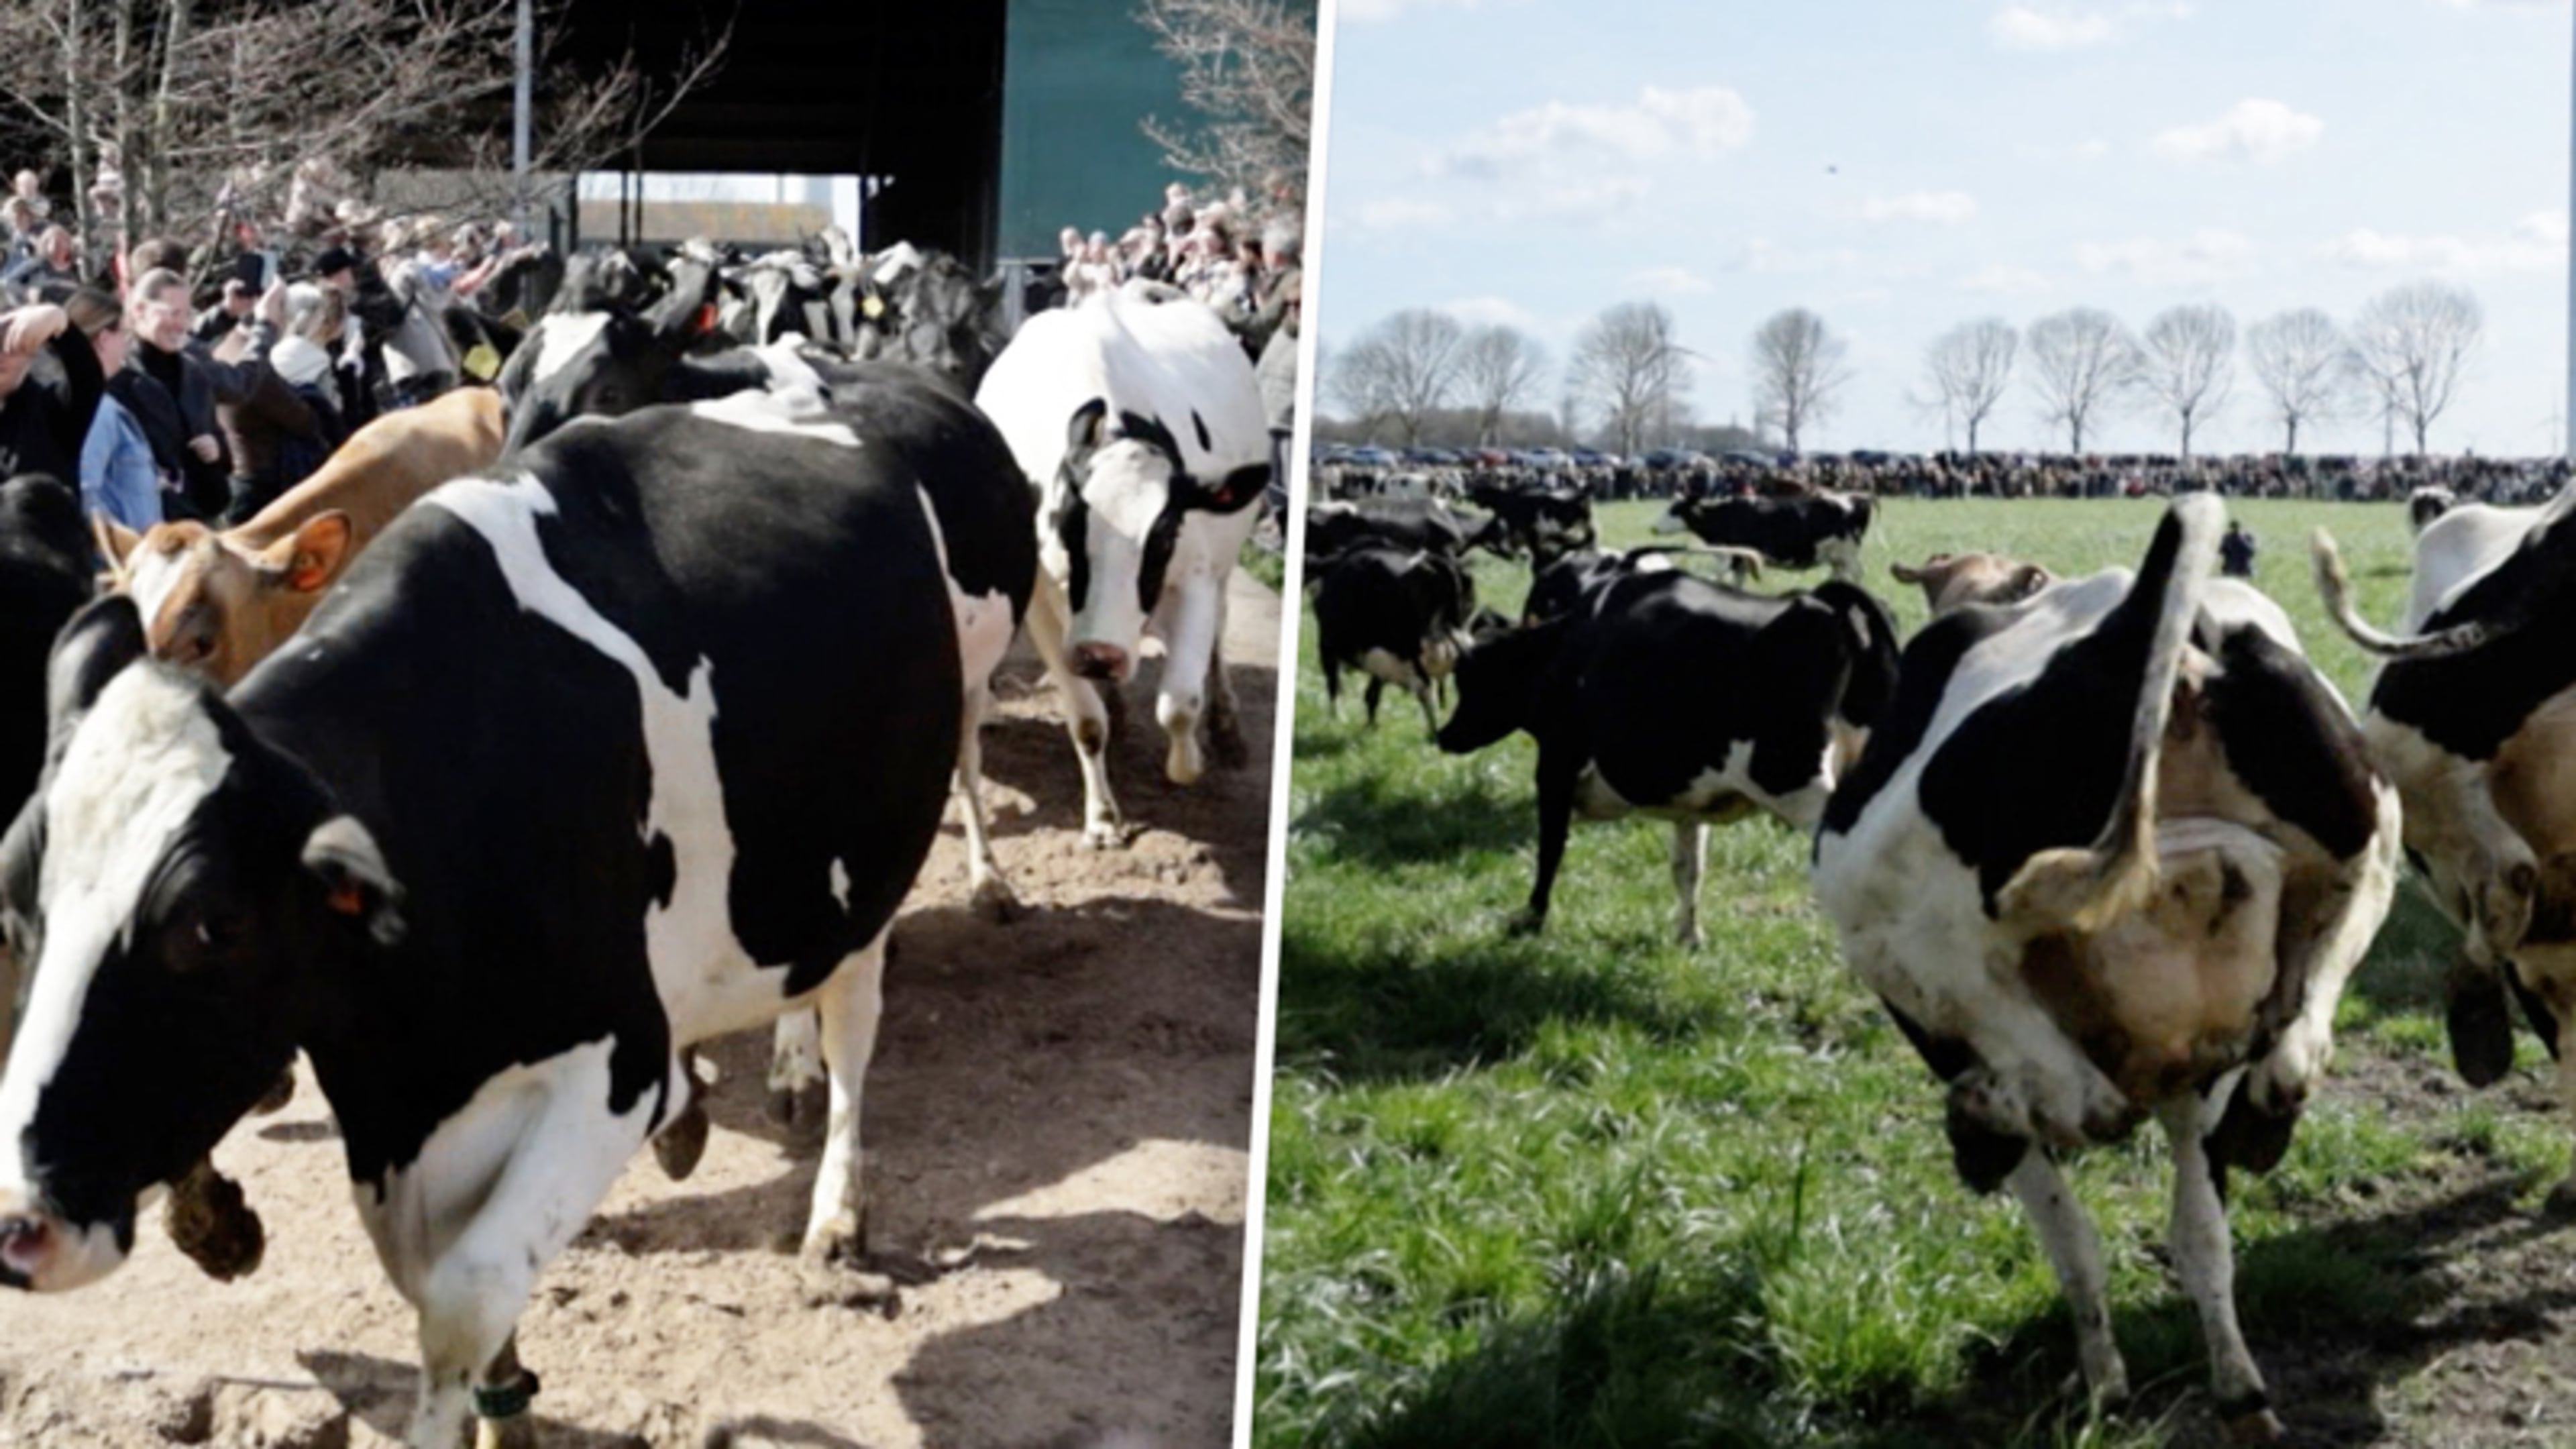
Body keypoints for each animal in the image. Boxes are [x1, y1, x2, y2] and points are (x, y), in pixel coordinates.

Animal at [974, 281, 1269, 848]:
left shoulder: (1195, 577)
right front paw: (1103, 818)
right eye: (1064, 523)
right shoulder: (1043, 601)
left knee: (1219, 641)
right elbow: (1086, 721)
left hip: (1225, 565)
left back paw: (1226, 731)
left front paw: (1187, 766)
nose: (1099, 656)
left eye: (1165, 534)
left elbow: (1180, 701)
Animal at [1436, 570, 1900, 946]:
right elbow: (1688, 868)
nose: (1444, 736)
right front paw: (1689, 935)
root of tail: (1824, 603)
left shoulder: (1555, 767)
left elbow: (1550, 848)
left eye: (1472, 675)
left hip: (1798, 786)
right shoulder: (1691, 801)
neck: (1566, 648)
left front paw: (1530, 919)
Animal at [1653, 490, 1874, 582]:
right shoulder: (1741, 563)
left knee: (1857, 575)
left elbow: (1717, 578)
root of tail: (1858, 498)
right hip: (1837, 559)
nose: (1653, 529)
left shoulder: (1733, 558)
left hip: (1848, 555)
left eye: (1674, 510)